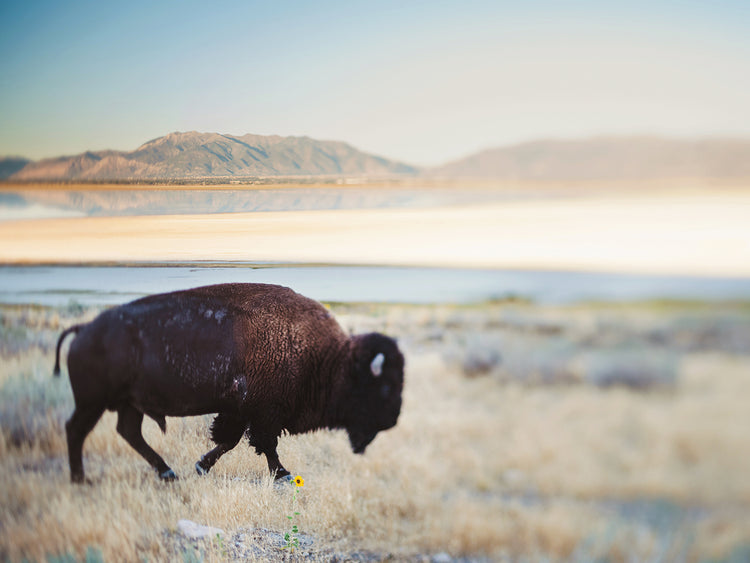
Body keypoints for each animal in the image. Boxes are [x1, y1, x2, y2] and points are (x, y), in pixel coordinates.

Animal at [53, 283, 404, 483]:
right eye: (384, 388)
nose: (392, 421)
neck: (329, 359)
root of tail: (84, 329)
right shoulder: (261, 413)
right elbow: (262, 444)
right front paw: (284, 475)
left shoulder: (241, 411)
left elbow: (232, 441)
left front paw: (200, 466)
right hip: (93, 402)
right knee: (76, 430)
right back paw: (80, 479)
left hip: (130, 403)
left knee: (129, 433)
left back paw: (168, 473)